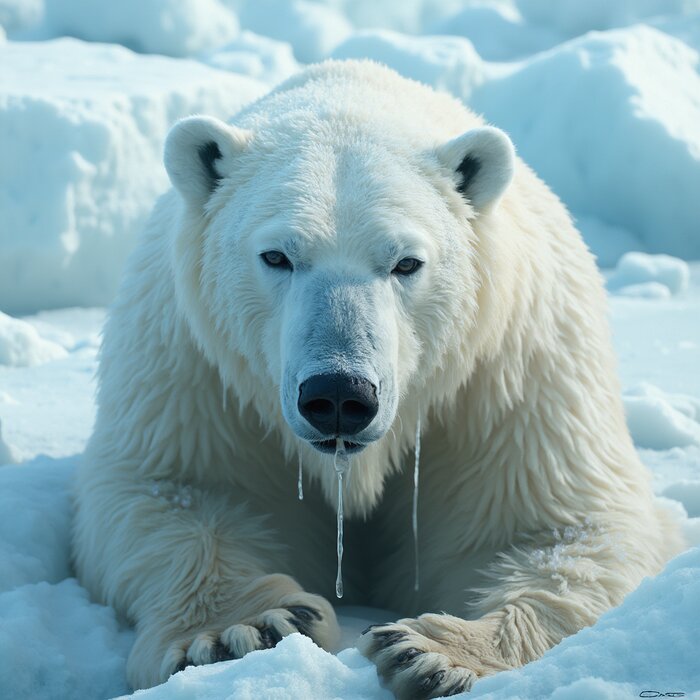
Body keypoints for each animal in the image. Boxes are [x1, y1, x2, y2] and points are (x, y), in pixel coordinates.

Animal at [72, 61, 684, 700]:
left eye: (406, 262)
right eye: (277, 256)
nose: (340, 396)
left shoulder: (509, 376)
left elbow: (552, 524)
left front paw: (433, 652)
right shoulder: (198, 370)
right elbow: (177, 489)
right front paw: (242, 630)